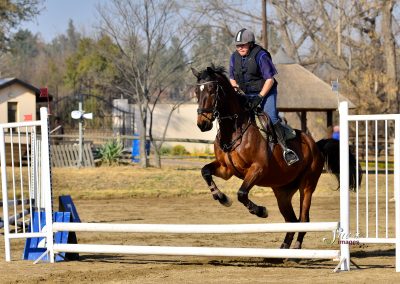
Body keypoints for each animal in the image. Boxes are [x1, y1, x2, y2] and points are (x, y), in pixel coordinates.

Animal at [191, 65, 360, 250]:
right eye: (196, 92)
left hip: (307, 185)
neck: (234, 130)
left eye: (211, 90)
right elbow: (205, 171)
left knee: (303, 218)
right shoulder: (226, 169)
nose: (202, 124)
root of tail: (316, 145)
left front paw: (261, 211)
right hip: (282, 191)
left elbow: (242, 193)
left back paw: (296, 248)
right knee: (291, 220)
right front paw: (222, 198)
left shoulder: (257, 168)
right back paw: (284, 248)